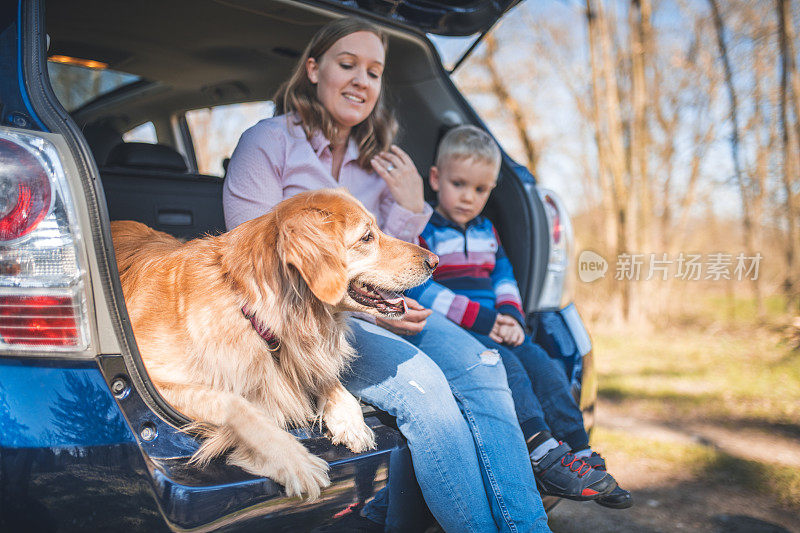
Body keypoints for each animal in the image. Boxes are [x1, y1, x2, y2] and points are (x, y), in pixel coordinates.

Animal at [109, 189, 438, 500]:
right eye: (367, 236)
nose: (434, 262)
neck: (250, 307)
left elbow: (325, 376)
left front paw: (352, 421)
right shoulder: (153, 377)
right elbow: (236, 404)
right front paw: (295, 459)